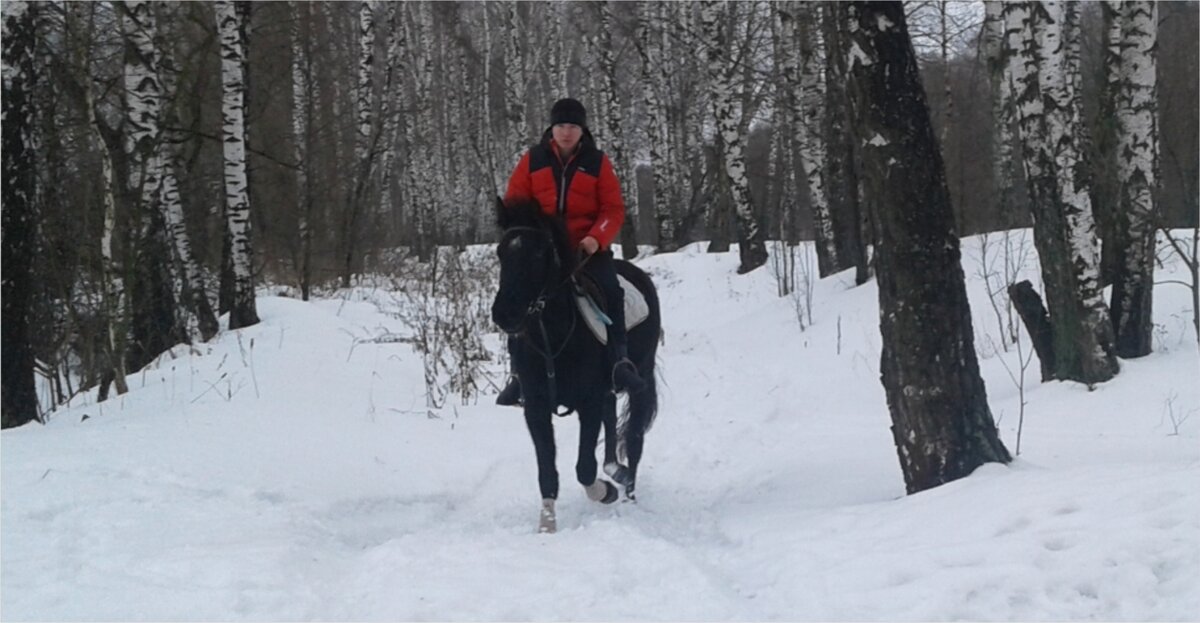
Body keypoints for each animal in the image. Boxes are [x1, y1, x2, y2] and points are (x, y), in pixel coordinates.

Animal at [489, 198, 667, 532]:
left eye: (538, 252)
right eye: (501, 251)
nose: (505, 313)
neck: (553, 335)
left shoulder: (589, 402)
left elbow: (584, 467)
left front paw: (606, 493)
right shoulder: (536, 408)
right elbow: (547, 472)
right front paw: (546, 526)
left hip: (641, 378)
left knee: (634, 438)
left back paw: (628, 493)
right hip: (608, 391)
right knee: (612, 425)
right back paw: (615, 470)